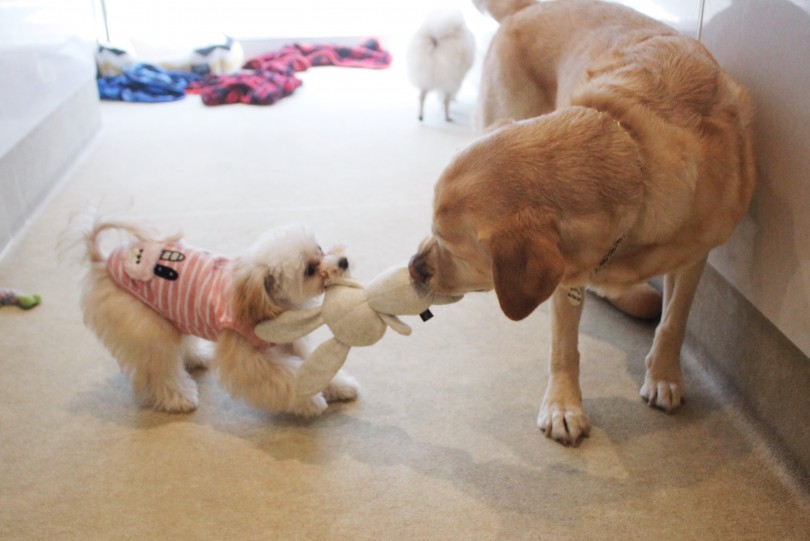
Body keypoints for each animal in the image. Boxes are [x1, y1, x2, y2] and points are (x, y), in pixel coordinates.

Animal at [78, 217, 356, 416]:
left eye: (320, 248)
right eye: (310, 269)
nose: (343, 261)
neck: (268, 302)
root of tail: (103, 260)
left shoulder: (289, 341)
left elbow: (314, 365)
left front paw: (339, 386)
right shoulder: (249, 359)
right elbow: (286, 376)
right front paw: (310, 401)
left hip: (172, 313)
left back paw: (198, 357)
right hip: (148, 326)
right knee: (162, 368)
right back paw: (179, 398)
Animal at [408, 0, 756, 442]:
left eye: (449, 245)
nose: (413, 268)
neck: (634, 151)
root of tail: (528, 7)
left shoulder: (695, 257)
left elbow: (674, 322)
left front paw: (664, 376)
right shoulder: (565, 277)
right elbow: (564, 348)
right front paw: (563, 405)